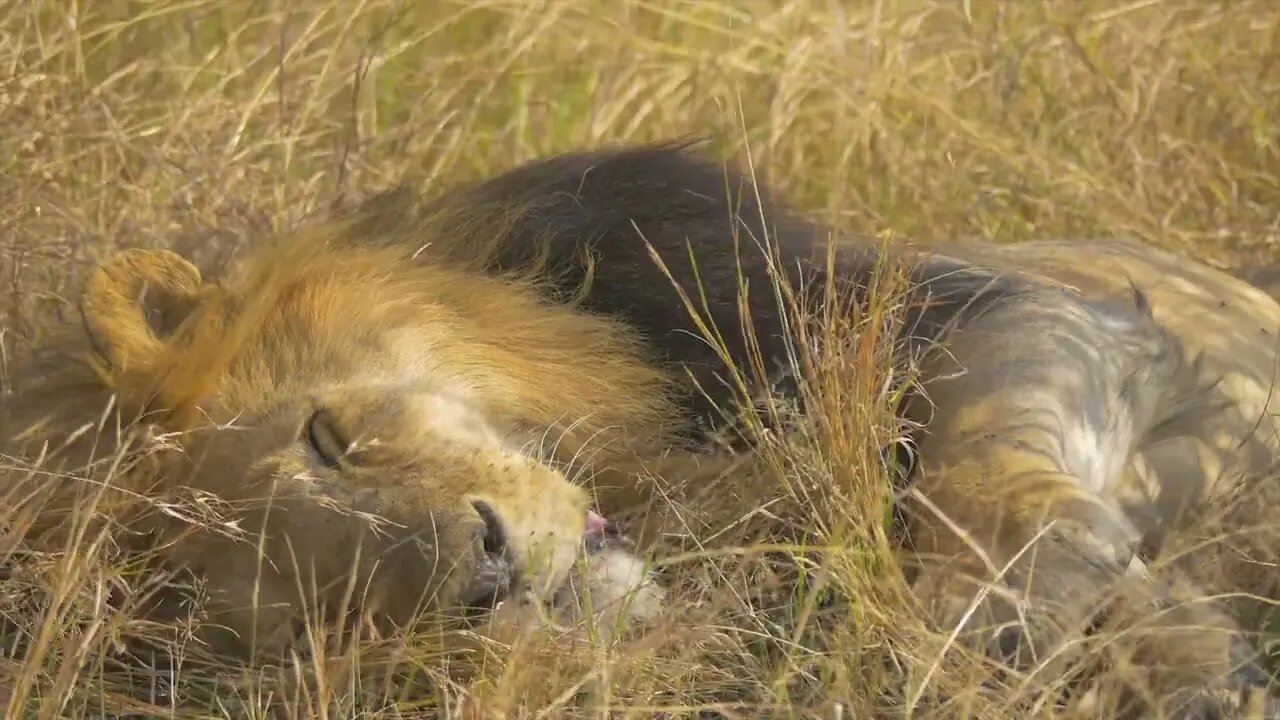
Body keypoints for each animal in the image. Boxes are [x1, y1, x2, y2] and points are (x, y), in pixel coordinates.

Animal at [2, 139, 1280, 712]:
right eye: (313, 618)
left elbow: (978, 472)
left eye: (327, 437)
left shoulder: (922, 303)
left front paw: (1018, 608)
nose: (490, 575)